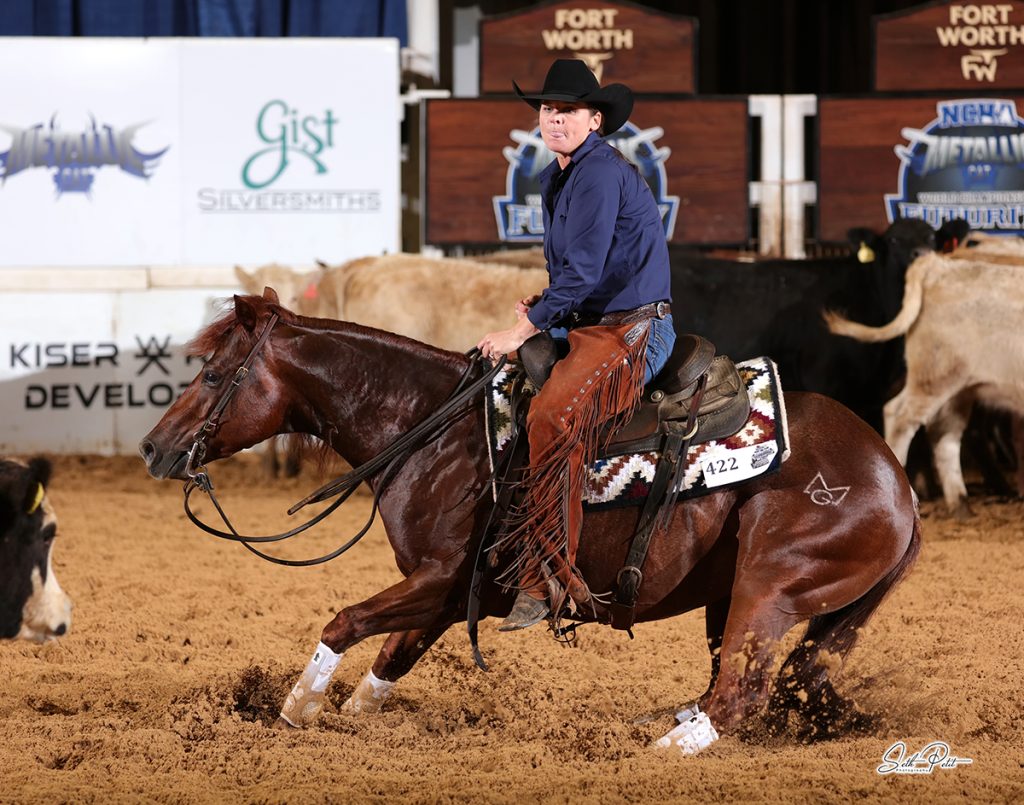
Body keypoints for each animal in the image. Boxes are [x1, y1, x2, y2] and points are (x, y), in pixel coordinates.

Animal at [138, 290, 921, 749]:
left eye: (213, 373)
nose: (151, 447)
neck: (434, 429)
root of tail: (898, 484)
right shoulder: (449, 596)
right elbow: (388, 662)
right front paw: (341, 714)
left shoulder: (448, 581)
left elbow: (344, 621)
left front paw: (293, 712)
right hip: (737, 599)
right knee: (735, 690)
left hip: (769, 589)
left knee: (739, 695)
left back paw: (655, 751)